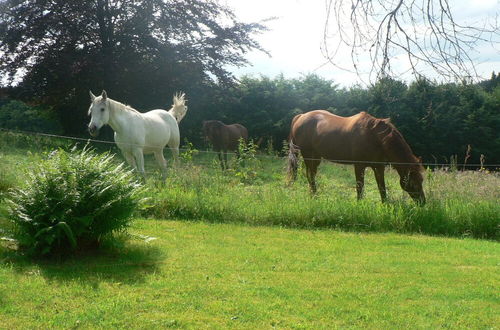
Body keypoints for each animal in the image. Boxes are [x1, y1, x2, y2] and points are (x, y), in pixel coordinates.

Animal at [288, 111, 424, 204]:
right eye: (413, 182)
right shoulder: (359, 165)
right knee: (310, 176)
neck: (375, 136)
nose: (422, 202)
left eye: (421, 180)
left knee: (311, 175)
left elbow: (382, 187)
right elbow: (360, 187)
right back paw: (314, 196)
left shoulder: (379, 167)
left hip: (316, 158)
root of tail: (300, 116)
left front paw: (385, 204)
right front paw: (359, 204)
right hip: (307, 155)